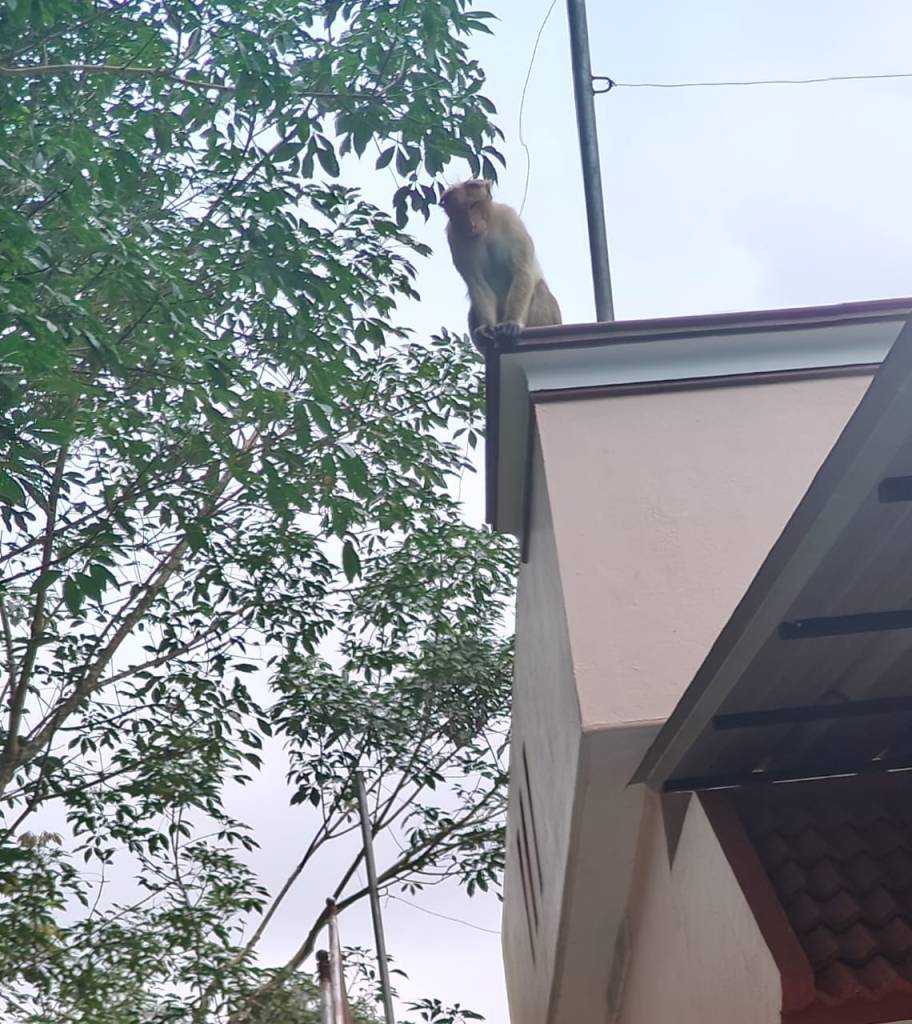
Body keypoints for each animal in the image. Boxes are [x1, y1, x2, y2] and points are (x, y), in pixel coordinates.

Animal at [441, 179, 561, 350]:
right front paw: (485, 328)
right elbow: (477, 283)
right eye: (459, 211)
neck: (486, 228)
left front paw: (511, 323)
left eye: (474, 204)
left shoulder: (509, 218)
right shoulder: (454, 237)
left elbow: (521, 270)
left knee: (540, 288)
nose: (472, 225)